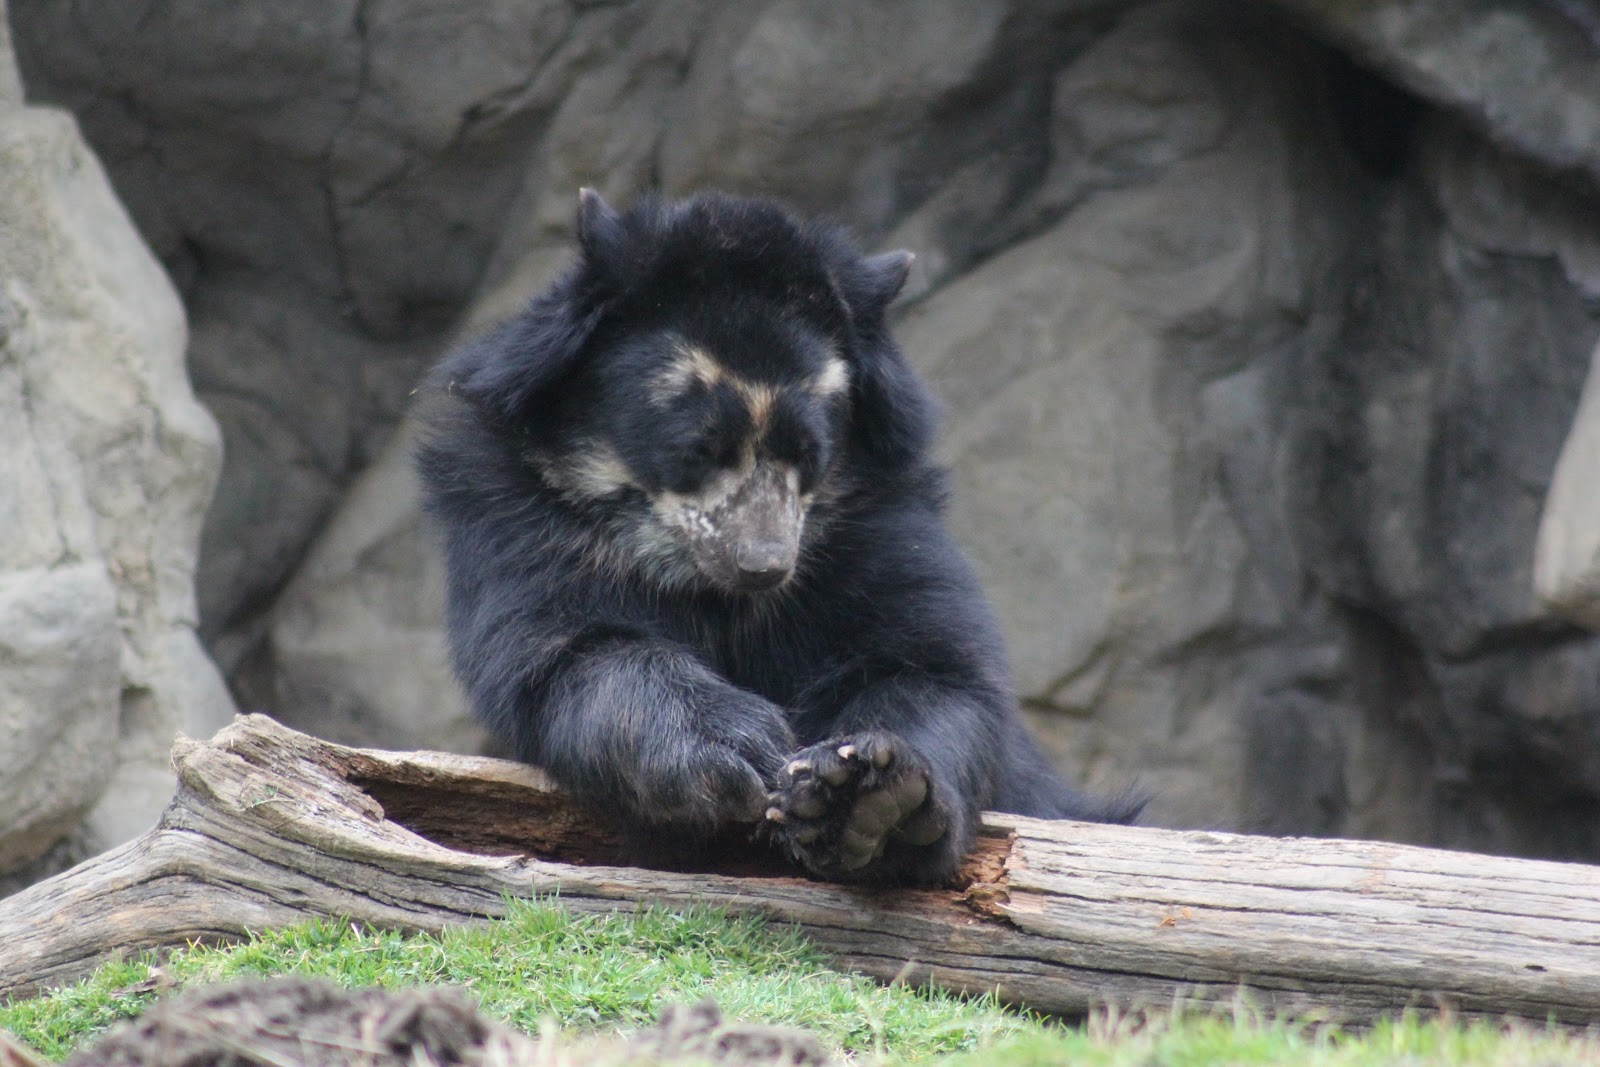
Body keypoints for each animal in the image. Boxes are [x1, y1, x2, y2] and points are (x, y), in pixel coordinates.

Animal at [414, 190, 1140, 886]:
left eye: (809, 453)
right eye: (698, 449)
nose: (763, 565)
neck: (711, 590)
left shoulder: (874, 530)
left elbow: (932, 667)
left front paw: (862, 792)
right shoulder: (521, 520)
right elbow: (573, 648)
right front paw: (740, 748)